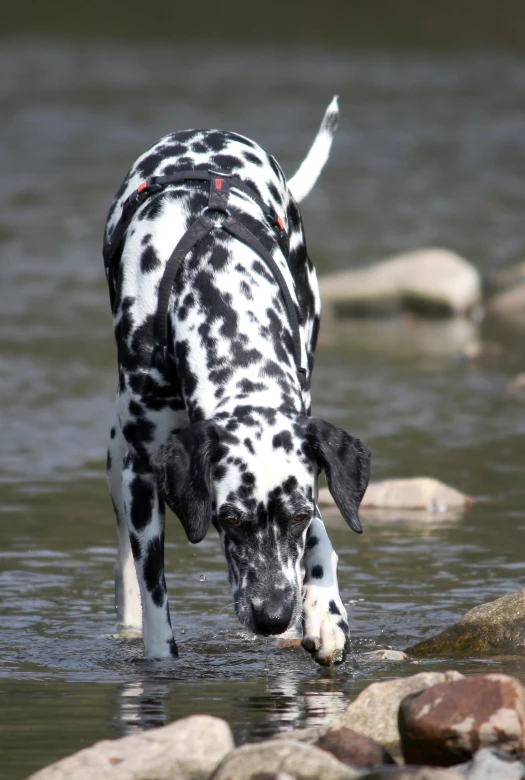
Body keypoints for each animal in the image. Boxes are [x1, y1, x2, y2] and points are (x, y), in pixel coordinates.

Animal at [104, 99, 370, 664]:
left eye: (297, 517)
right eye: (229, 520)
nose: (273, 617)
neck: (222, 294)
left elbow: (322, 538)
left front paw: (324, 612)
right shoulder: (142, 475)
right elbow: (153, 587)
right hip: (117, 459)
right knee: (126, 566)